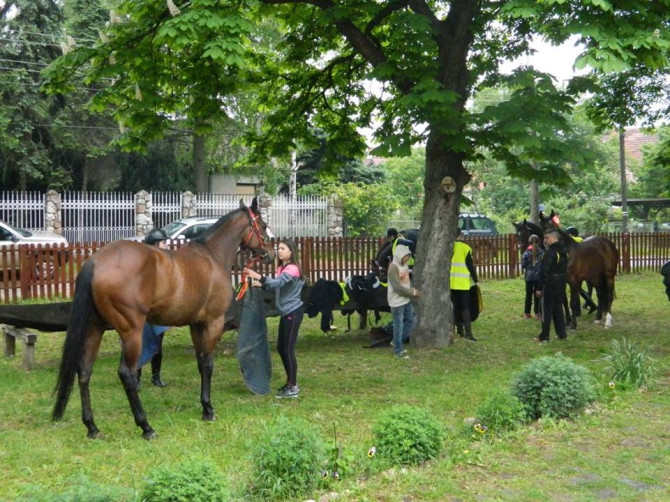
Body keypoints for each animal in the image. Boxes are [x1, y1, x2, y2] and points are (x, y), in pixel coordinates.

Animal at [52, 198, 275, 439]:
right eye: (262, 224)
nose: (271, 253)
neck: (211, 256)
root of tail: (95, 262)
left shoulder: (196, 325)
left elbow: (200, 364)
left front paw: (204, 405)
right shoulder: (212, 323)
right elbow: (208, 365)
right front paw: (208, 410)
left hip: (95, 328)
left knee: (84, 371)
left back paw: (92, 427)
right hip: (131, 333)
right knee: (126, 373)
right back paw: (146, 426)